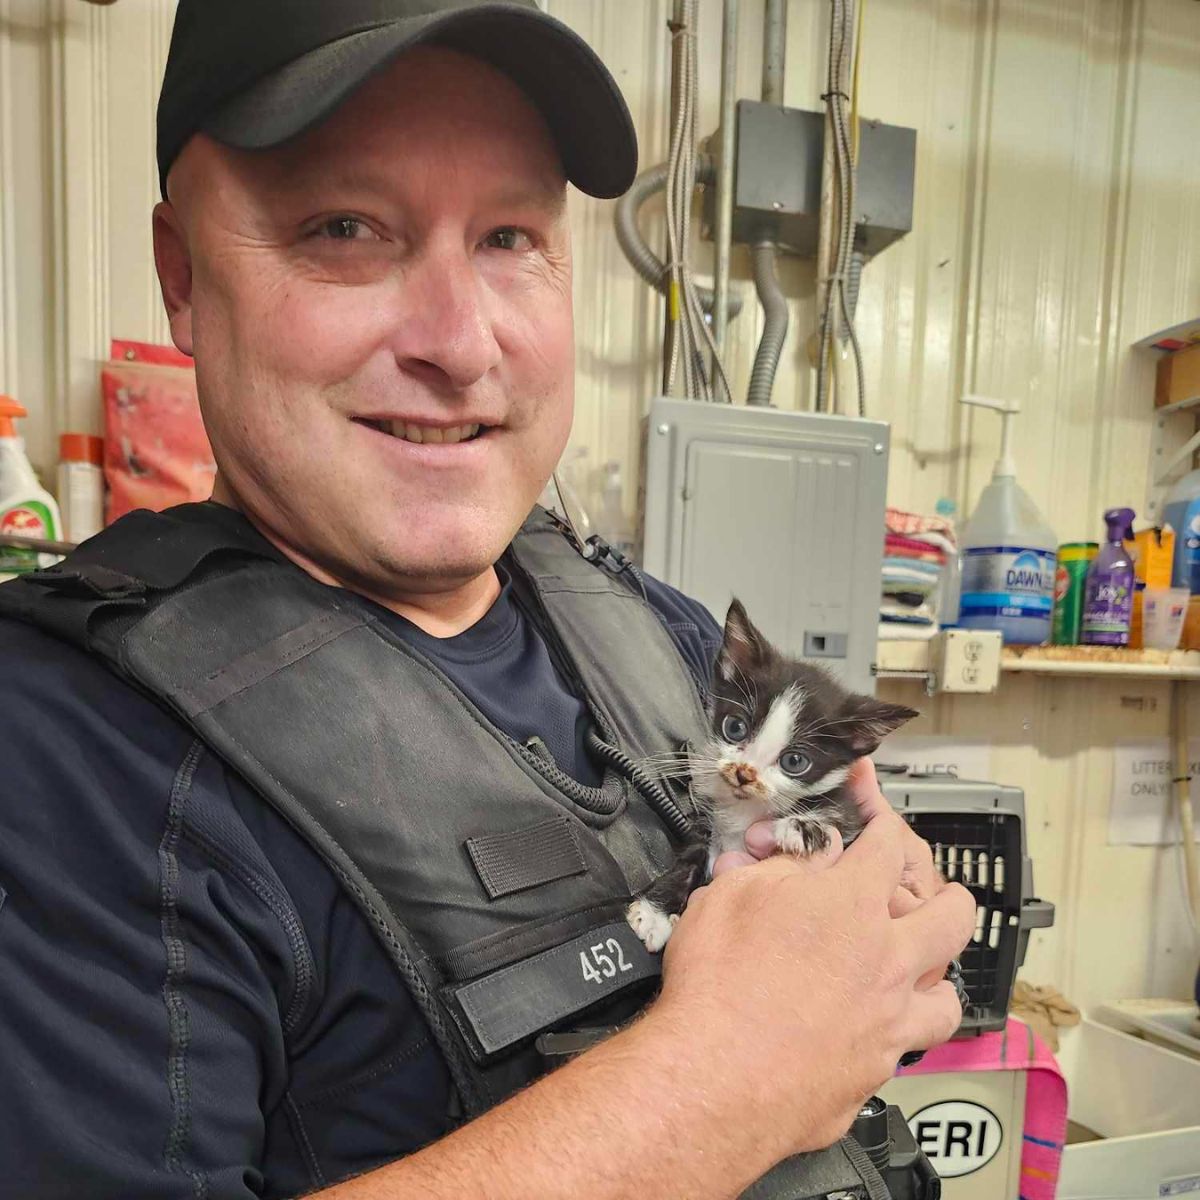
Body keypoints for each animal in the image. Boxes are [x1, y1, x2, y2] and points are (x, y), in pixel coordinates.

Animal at [628, 595, 916, 950]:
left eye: (794, 761)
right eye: (735, 727)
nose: (744, 773)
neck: (745, 810)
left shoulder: (849, 820)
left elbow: (834, 819)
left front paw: (803, 828)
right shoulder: (707, 823)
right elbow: (691, 856)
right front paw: (653, 914)